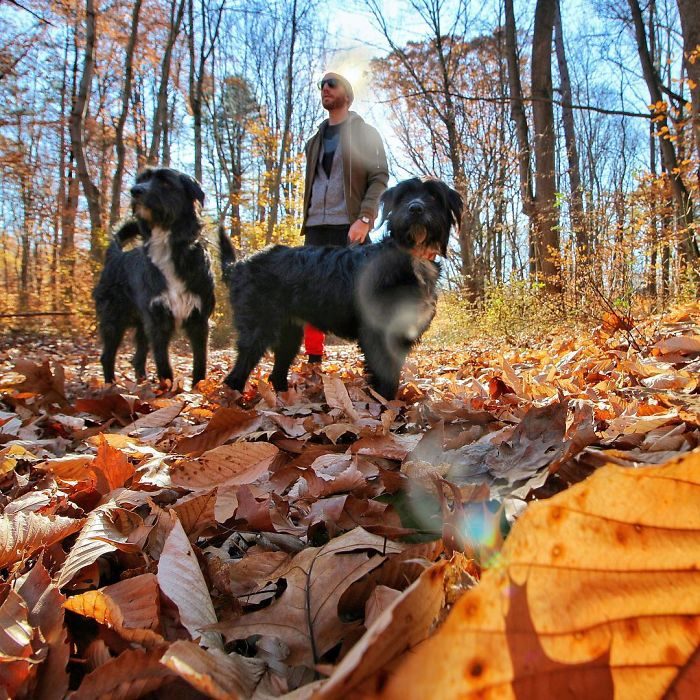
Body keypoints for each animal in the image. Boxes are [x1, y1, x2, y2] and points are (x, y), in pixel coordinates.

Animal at [93, 168, 215, 388]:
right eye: (141, 180)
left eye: (165, 182)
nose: (135, 191)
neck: (168, 245)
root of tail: (116, 255)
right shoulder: (158, 320)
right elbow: (163, 363)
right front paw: (168, 388)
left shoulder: (199, 320)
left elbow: (200, 361)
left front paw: (199, 388)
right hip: (113, 320)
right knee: (107, 356)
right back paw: (110, 386)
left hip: (141, 325)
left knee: (138, 358)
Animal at [219, 178, 460, 400]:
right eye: (403, 197)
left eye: (434, 196)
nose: (415, 208)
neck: (411, 255)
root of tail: (240, 264)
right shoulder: (378, 333)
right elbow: (386, 378)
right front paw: (387, 406)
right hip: (258, 328)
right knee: (236, 374)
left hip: (289, 333)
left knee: (277, 373)